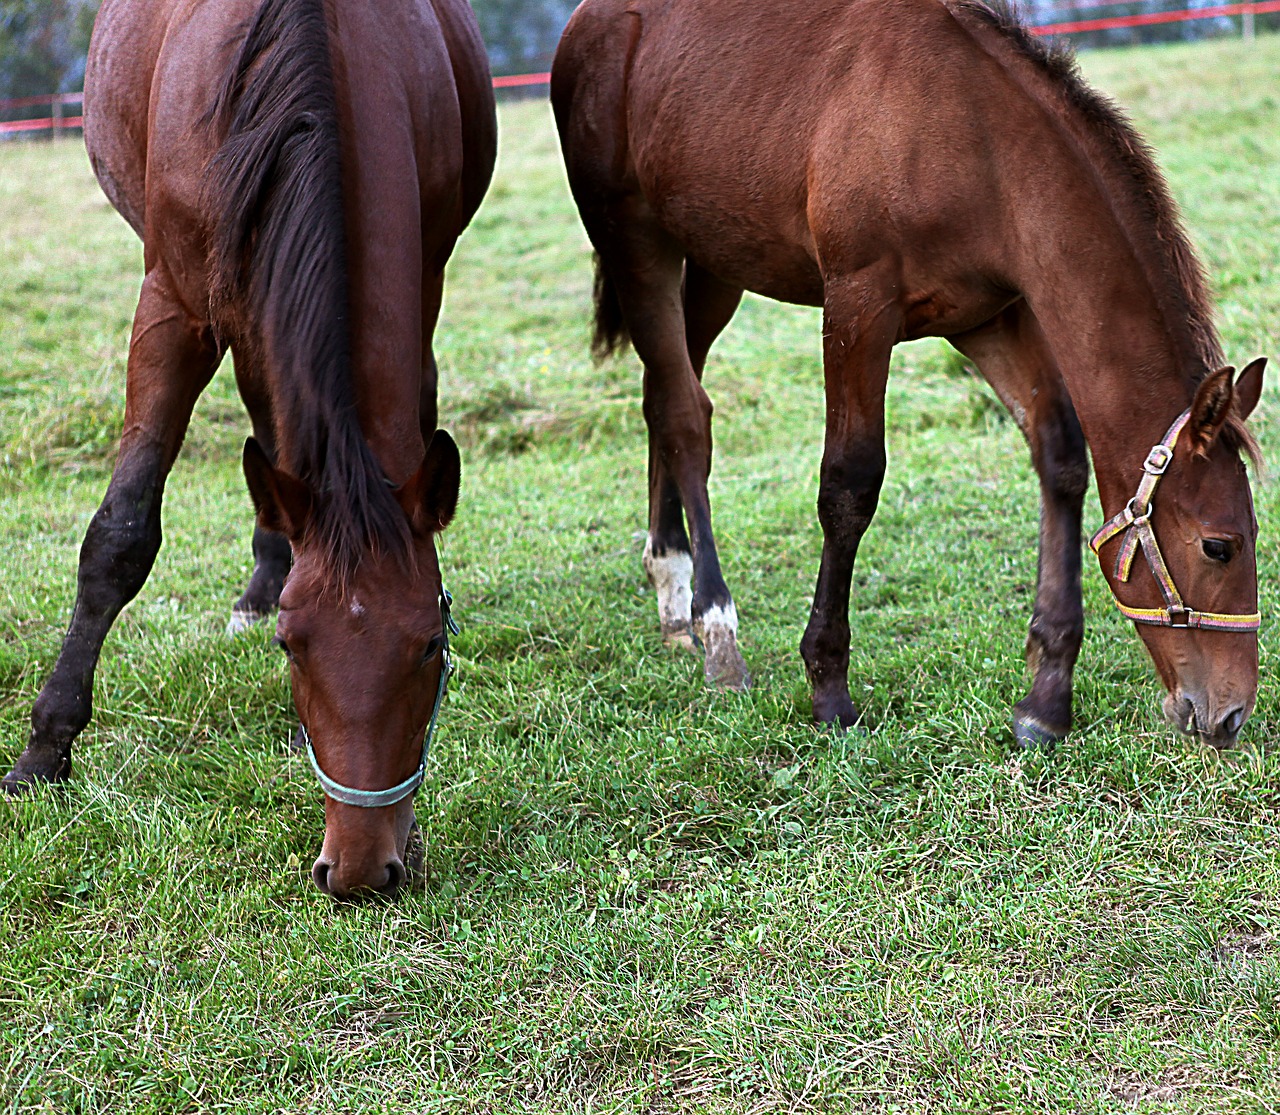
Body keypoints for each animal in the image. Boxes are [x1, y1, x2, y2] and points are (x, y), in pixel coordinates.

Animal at [2, 0, 496, 896]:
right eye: (291, 647)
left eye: (431, 645)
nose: (360, 867)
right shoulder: (172, 306)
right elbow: (120, 537)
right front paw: (44, 750)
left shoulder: (425, 278)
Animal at [555, 0, 1264, 747]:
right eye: (1218, 546)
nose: (1230, 713)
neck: (980, 144)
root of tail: (587, 23)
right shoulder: (858, 307)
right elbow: (850, 484)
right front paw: (829, 688)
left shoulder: (990, 317)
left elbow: (1060, 456)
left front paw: (1046, 698)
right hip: (637, 244)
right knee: (685, 415)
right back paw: (714, 624)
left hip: (717, 259)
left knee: (666, 391)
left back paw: (671, 589)